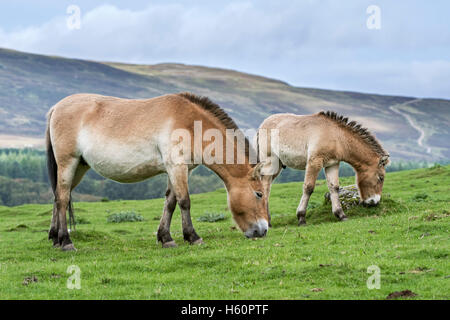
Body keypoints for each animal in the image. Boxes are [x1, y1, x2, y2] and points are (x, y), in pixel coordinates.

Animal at [47, 92, 268, 250]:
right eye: (259, 194)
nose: (263, 230)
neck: (191, 124)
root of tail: (56, 107)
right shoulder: (176, 166)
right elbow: (184, 201)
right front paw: (193, 237)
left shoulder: (178, 170)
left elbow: (170, 202)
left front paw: (166, 238)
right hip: (68, 163)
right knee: (63, 198)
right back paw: (66, 242)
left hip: (79, 167)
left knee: (59, 196)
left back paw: (55, 238)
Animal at [258, 111, 388, 226]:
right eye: (381, 178)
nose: (375, 202)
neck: (337, 136)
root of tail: (263, 124)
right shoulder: (314, 162)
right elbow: (309, 188)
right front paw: (301, 218)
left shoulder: (332, 164)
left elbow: (334, 188)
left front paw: (341, 215)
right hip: (271, 162)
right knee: (265, 186)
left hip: (278, 166)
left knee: (266, 186)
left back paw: (268, 220)